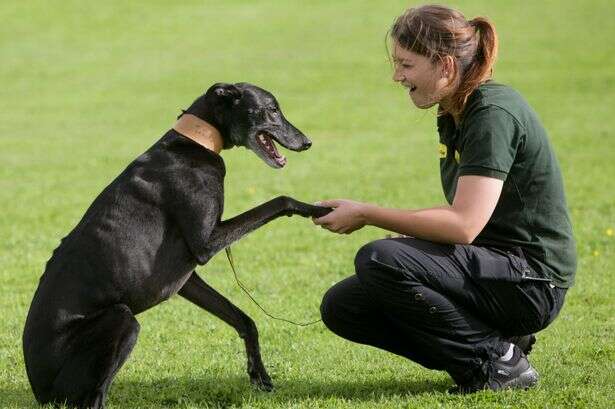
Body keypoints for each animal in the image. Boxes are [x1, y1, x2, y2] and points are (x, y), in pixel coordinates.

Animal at [22, 81, 332, 406]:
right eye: (272, 109)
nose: (307, 142)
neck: (195, 144)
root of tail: (39, 389)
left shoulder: (185, 278)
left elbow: (243, 319)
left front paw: (258, 372)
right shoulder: (206, 243)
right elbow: (280, 201)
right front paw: (317, 209)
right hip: (121, 319)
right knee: (94, 395)